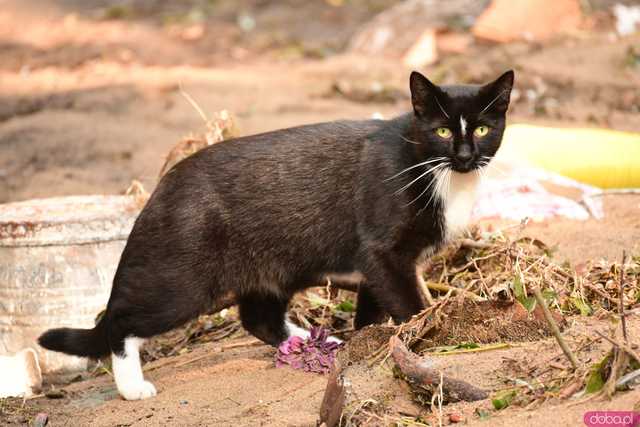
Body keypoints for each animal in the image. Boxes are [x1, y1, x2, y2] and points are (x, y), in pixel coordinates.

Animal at [40, 69, 512, 402]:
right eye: (443, 131)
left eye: (483, 129)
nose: (465, 155)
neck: (440, 172)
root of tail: (162, 187)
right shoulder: (383, 252)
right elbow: (409, 305)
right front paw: (428, 342)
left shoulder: (377, 264)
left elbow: (373, 310)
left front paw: (363, 346)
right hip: (180, 284)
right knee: (120, 321)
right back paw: (131, 386)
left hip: (271, 269)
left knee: (258, 318)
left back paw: (314, 343)